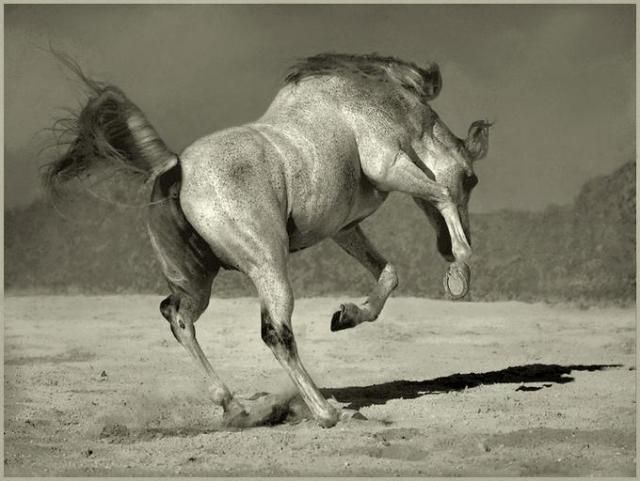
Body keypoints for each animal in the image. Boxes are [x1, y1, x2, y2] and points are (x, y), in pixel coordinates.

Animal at [43, 52, 490, 428]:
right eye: (472, 179)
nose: (444, 246)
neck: (382, 101)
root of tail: (174, 170)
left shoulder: (343, 228)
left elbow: (389, 273)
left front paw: (346, 315)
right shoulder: (389, 166)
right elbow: (441, 194)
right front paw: (459, 271)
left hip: (196, 281)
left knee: (178, 317)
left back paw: (234, 406)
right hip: (267, 266)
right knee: (275, 333)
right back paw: (326, 412)